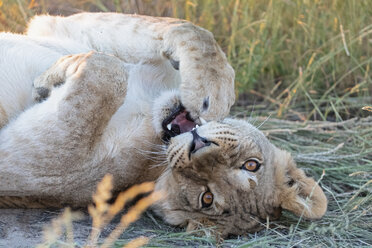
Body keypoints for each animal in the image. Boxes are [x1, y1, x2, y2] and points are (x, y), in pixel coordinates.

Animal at [0, 12, 326, 236]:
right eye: (251, 164)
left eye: (206, 198)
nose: (198, 144)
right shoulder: (54, 27)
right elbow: (184, 28)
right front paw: (214, 88)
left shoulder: (31, 164)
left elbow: (108, 74)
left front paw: (49, 80)